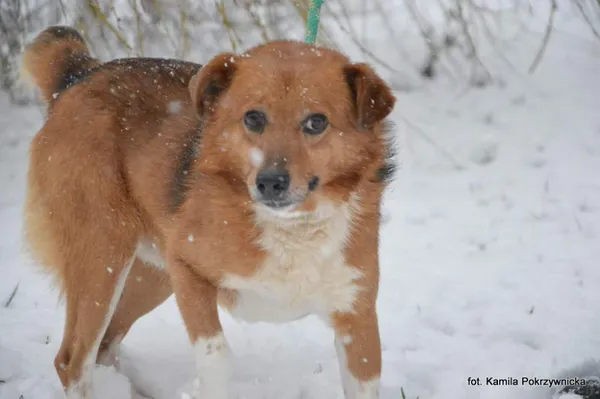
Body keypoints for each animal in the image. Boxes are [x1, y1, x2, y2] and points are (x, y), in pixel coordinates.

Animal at [23, 25, 396, 399]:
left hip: (149, 274)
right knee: (72, 360)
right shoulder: (187, 270)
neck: (292, 226)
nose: (270, 182)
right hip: (104, 256)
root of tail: (80, 73)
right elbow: (217, 355)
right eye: (253, 118)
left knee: (105, 345)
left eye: (316, 122)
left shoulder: (358, 320)